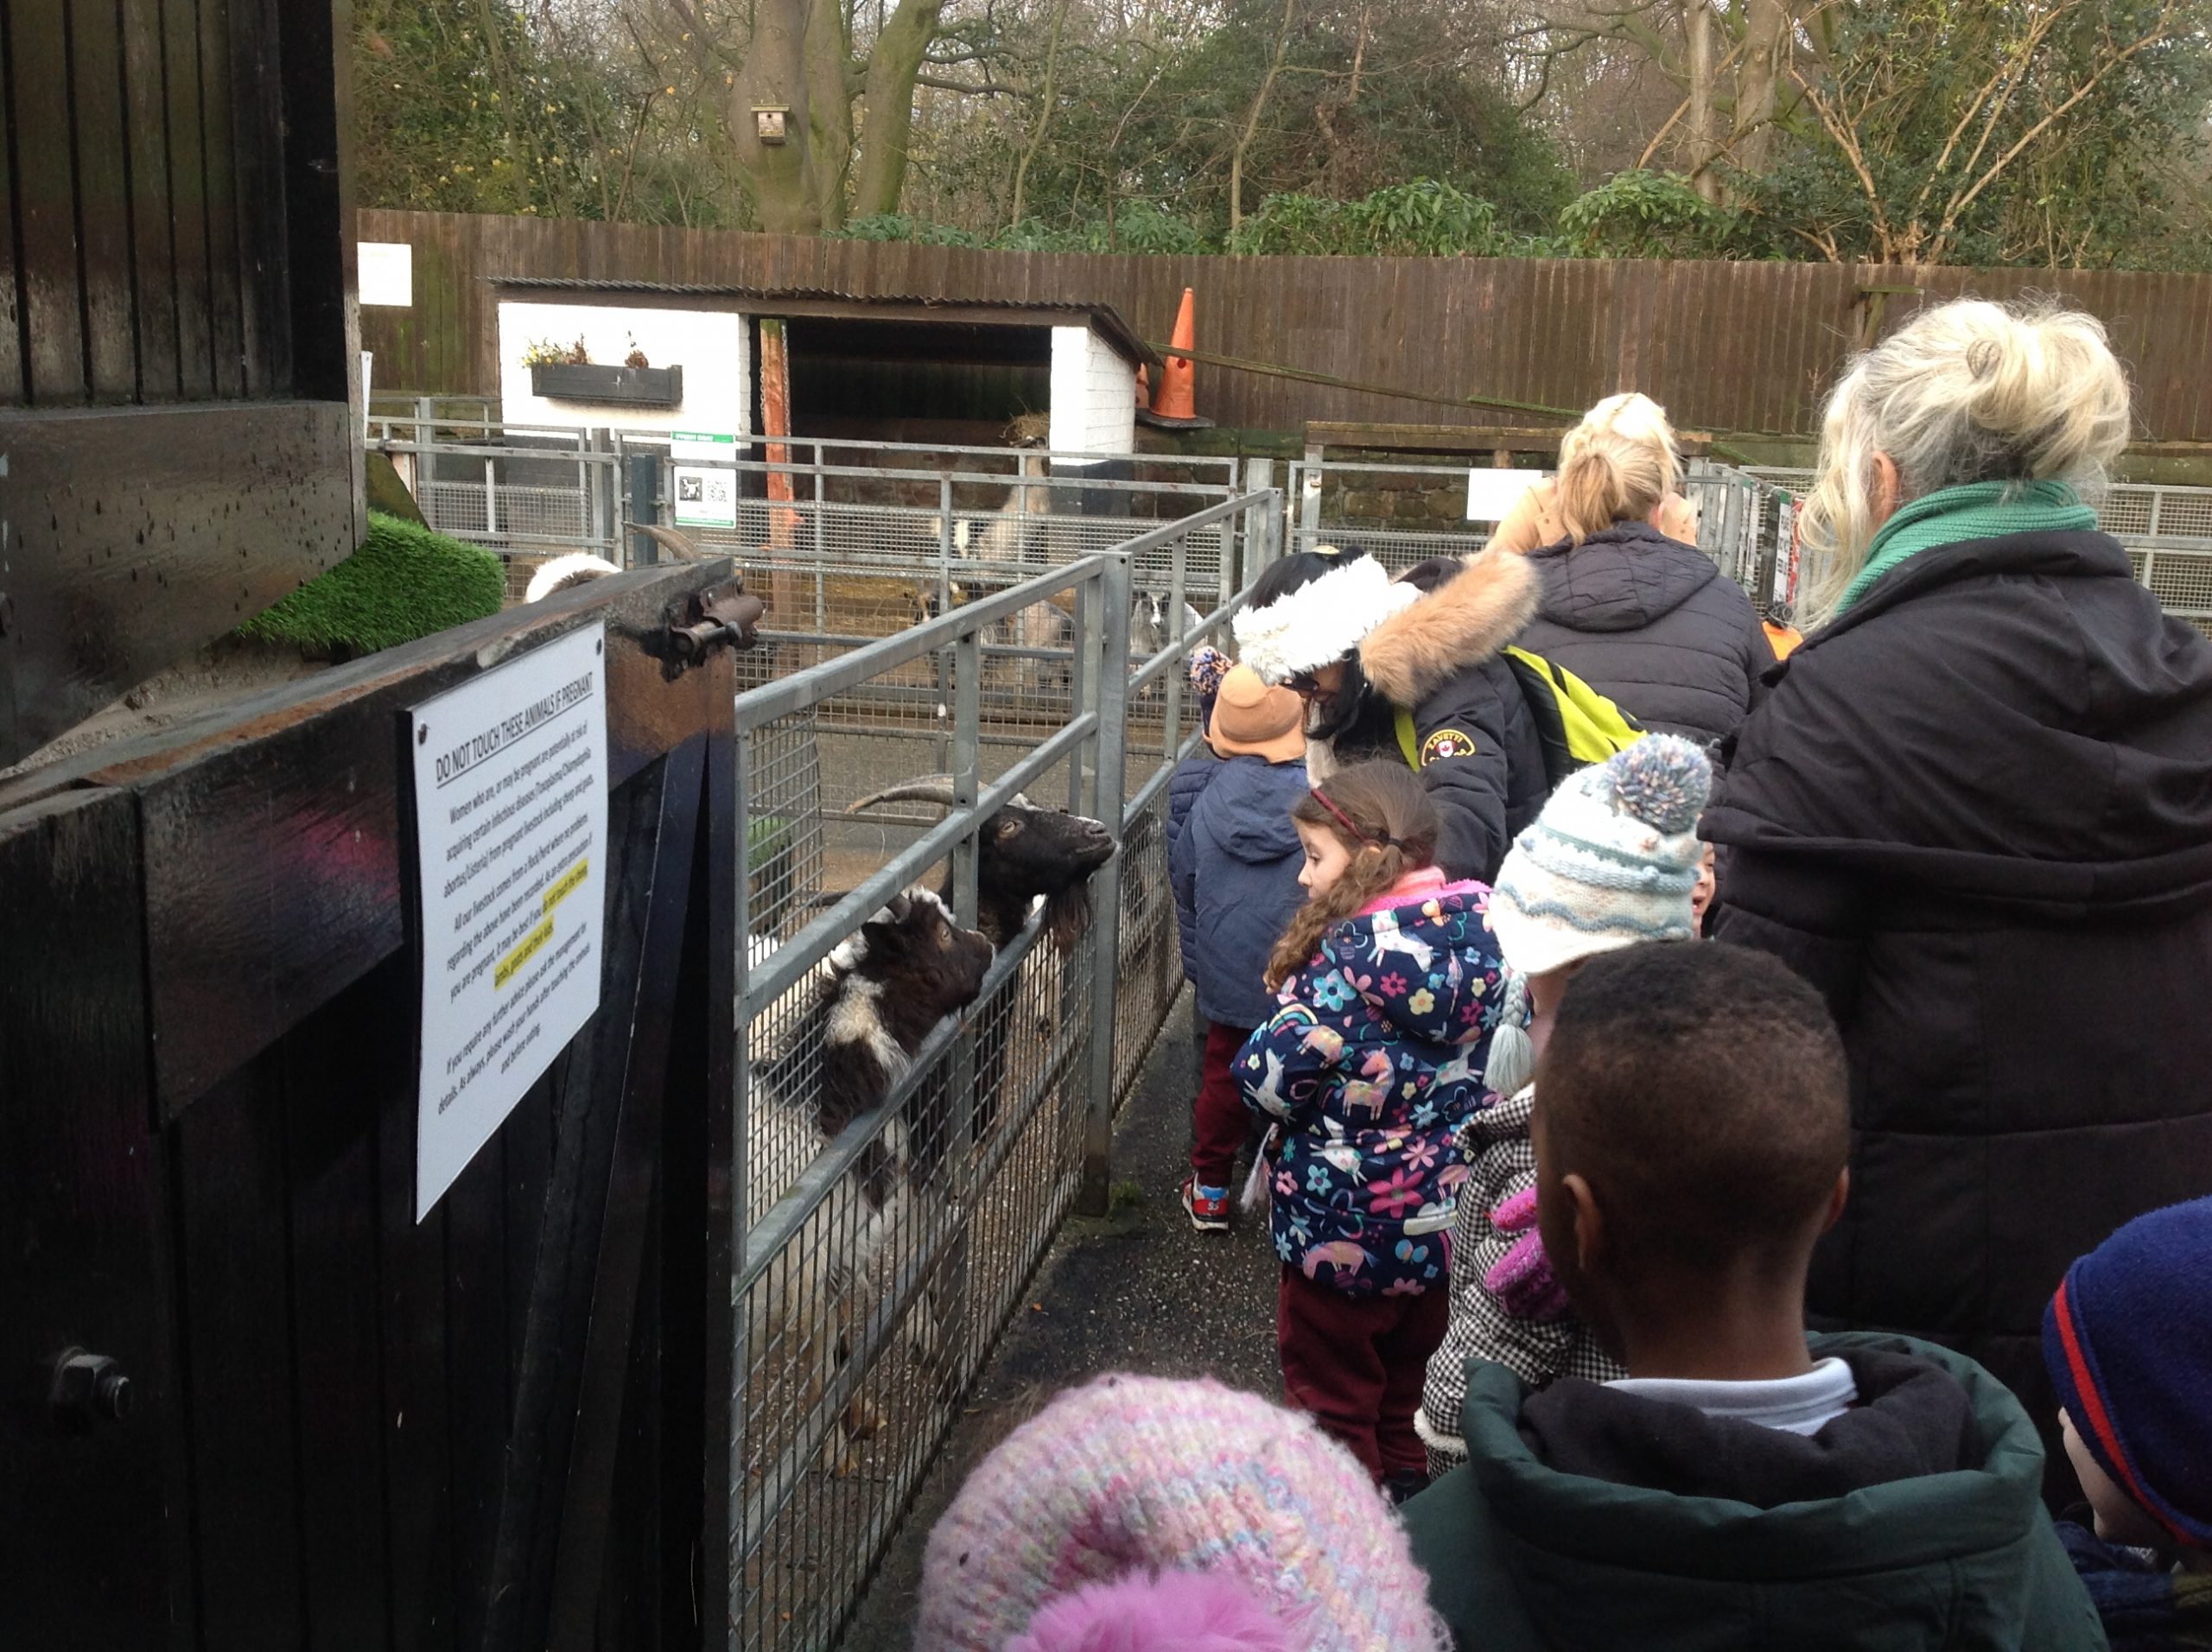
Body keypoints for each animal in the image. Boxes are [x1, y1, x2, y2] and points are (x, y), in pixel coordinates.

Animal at [742, 888, 995, 1460]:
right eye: (940, 934)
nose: (988, 944)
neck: (815, 1104)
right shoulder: (805, 1265)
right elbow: (819, 1362)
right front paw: (835, 1453)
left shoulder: (837, 1249)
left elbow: (838, 1348)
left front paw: (857, 1419)